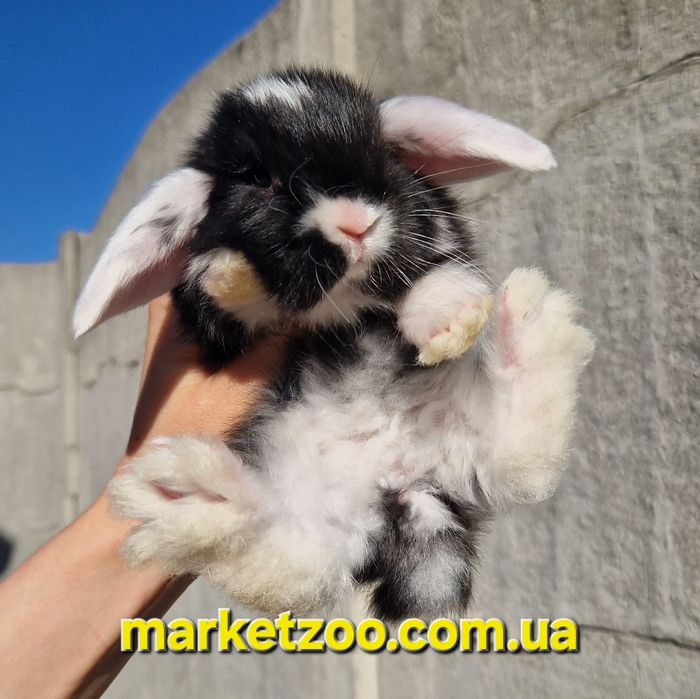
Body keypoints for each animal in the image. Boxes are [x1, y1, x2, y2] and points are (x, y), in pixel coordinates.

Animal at [73, 67, 594, 621]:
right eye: (257, 177)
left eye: (380, 153)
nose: (356, 223)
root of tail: (406, 483)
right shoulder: (209, 329)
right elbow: (229, 296)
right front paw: (231, 274)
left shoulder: (437, 227)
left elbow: (434, 273)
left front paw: (451, 319)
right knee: (300, 555)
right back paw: (194, 501)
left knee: (516, 459)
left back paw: (531, 329)